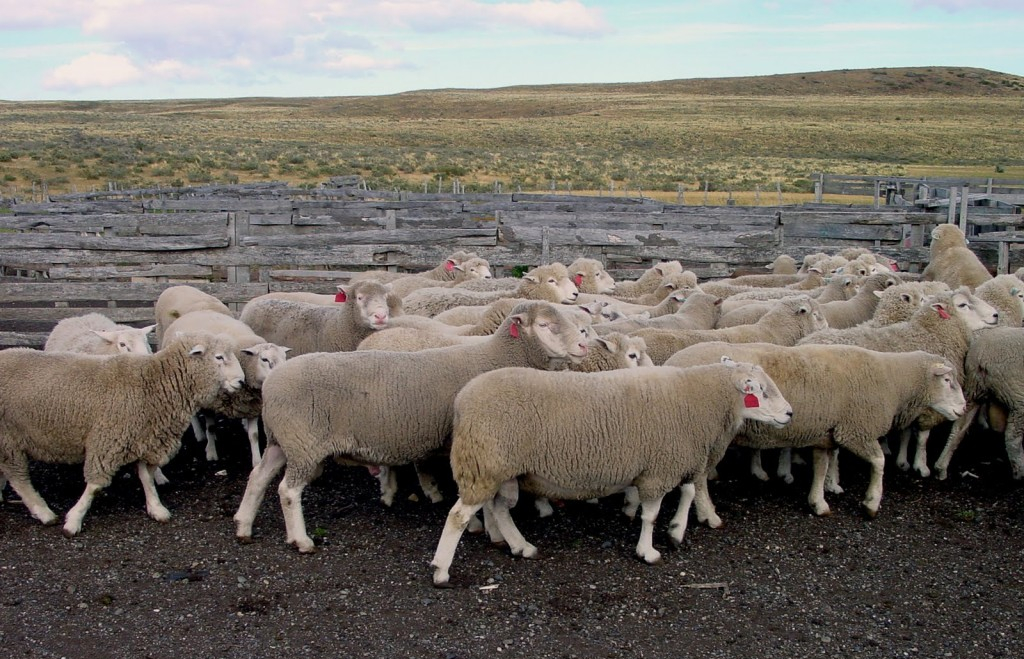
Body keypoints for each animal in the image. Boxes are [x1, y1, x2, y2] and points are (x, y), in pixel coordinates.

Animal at [0, 331, 242, 536]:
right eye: (219, 357)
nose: (241, 381)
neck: (154, 383)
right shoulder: (107, 439)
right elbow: (95, 486)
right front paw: (74, 520)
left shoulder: (143, 438)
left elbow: (146, 477)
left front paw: (156, 508)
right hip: (8, 439)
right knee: (19, 479)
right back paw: (44, 512)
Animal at [234, 300, 593, 548]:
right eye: (545, 324)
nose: (583, 346)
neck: (497, 356)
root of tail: (272, 383)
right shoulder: (476, 444)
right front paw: (488, 529)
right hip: (303, 444)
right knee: (288, 490)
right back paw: (301, 540)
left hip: (282, 440)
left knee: (258, 478)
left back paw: (243, 525)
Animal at [428, 358, 794, 585]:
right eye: (761, 391)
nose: (790, 413)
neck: (701, 400)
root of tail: (462, 401)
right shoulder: (659, 469)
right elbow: (650, 514)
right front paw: (648, 551)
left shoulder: (678, 460)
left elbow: (690, 491)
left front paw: (676, 531)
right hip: (484, 465)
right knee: (458, 516)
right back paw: (441, 571)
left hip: (501, 470)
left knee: (500, 508)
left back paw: (520, 546)